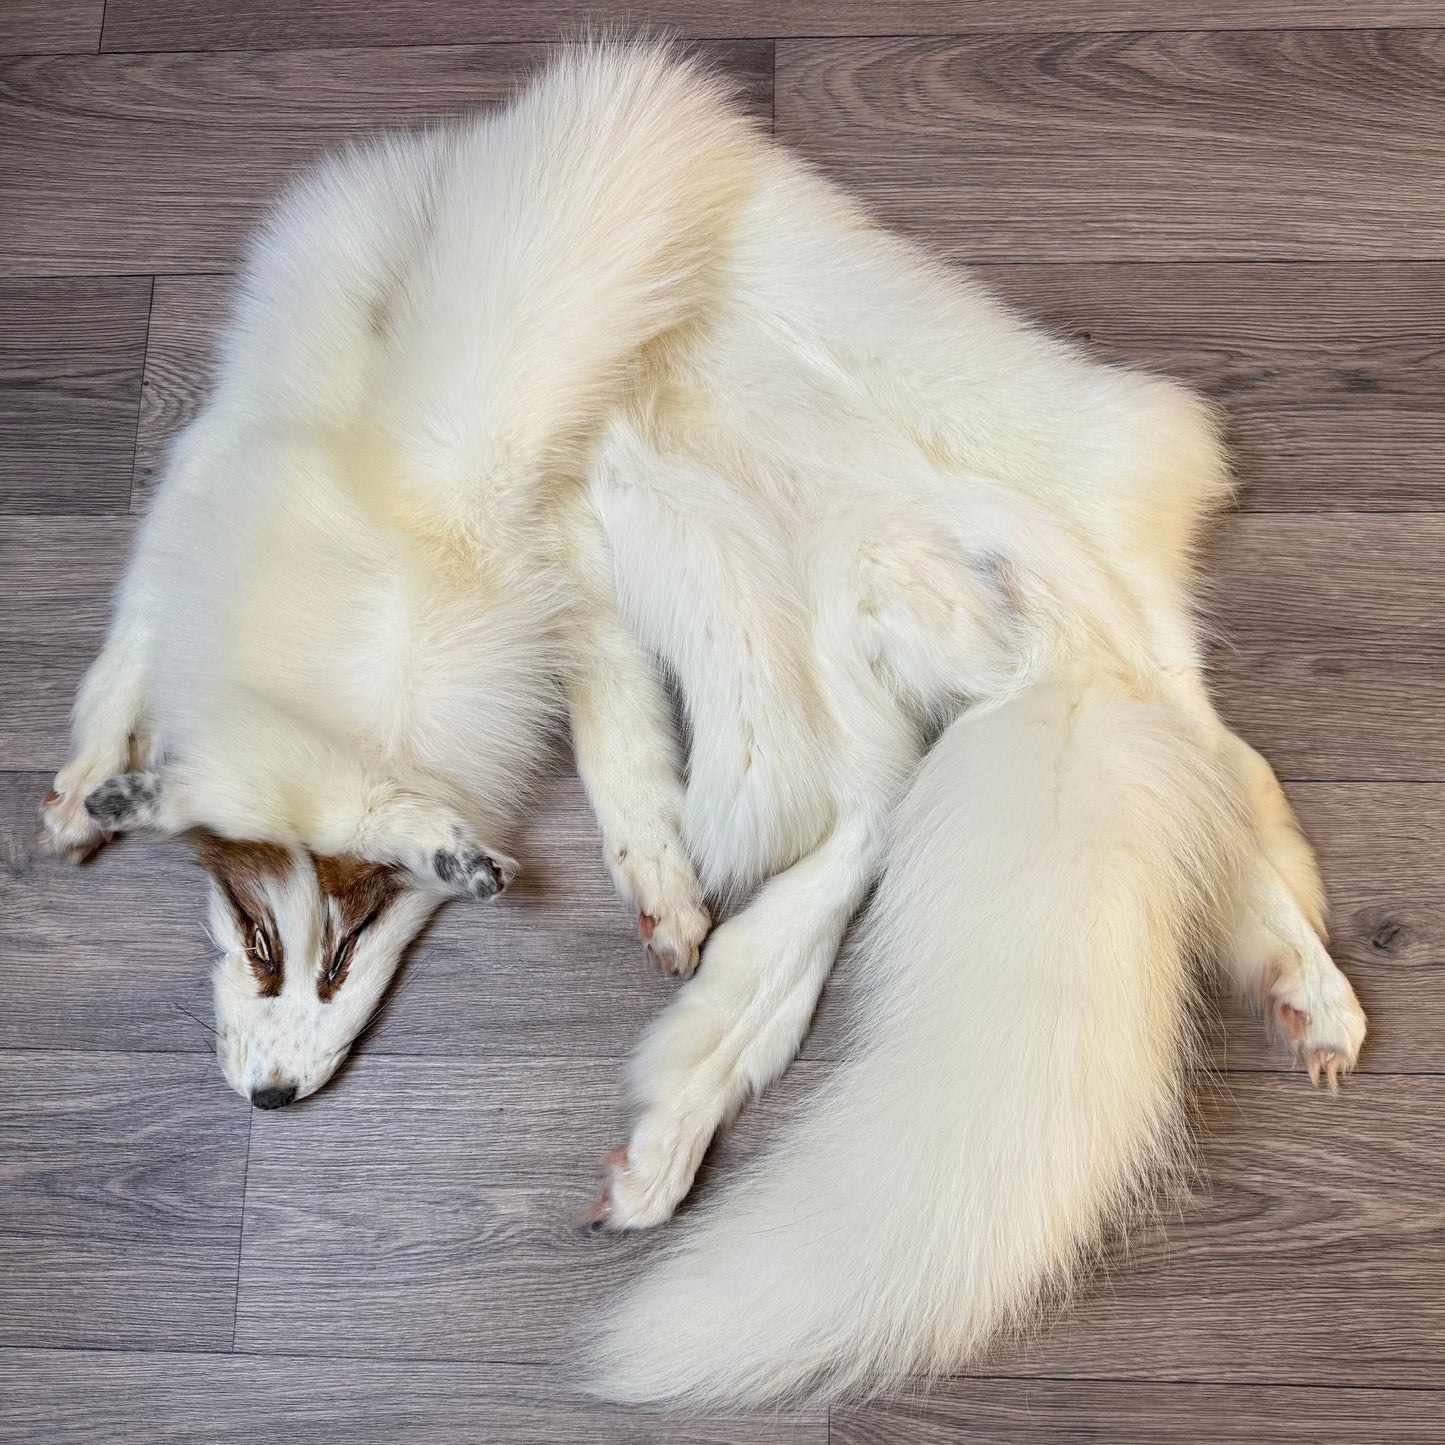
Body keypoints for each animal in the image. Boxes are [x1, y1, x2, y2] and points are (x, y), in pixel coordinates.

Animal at [42, 42, 1365, 1404]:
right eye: (261, 938)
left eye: (339, 942)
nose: (272, 1098)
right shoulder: (536, 564)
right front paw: (93, 778)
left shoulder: (444, 524)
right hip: (834, 658)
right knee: (1108, 770)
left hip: (855, 602)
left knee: (1051, 765)